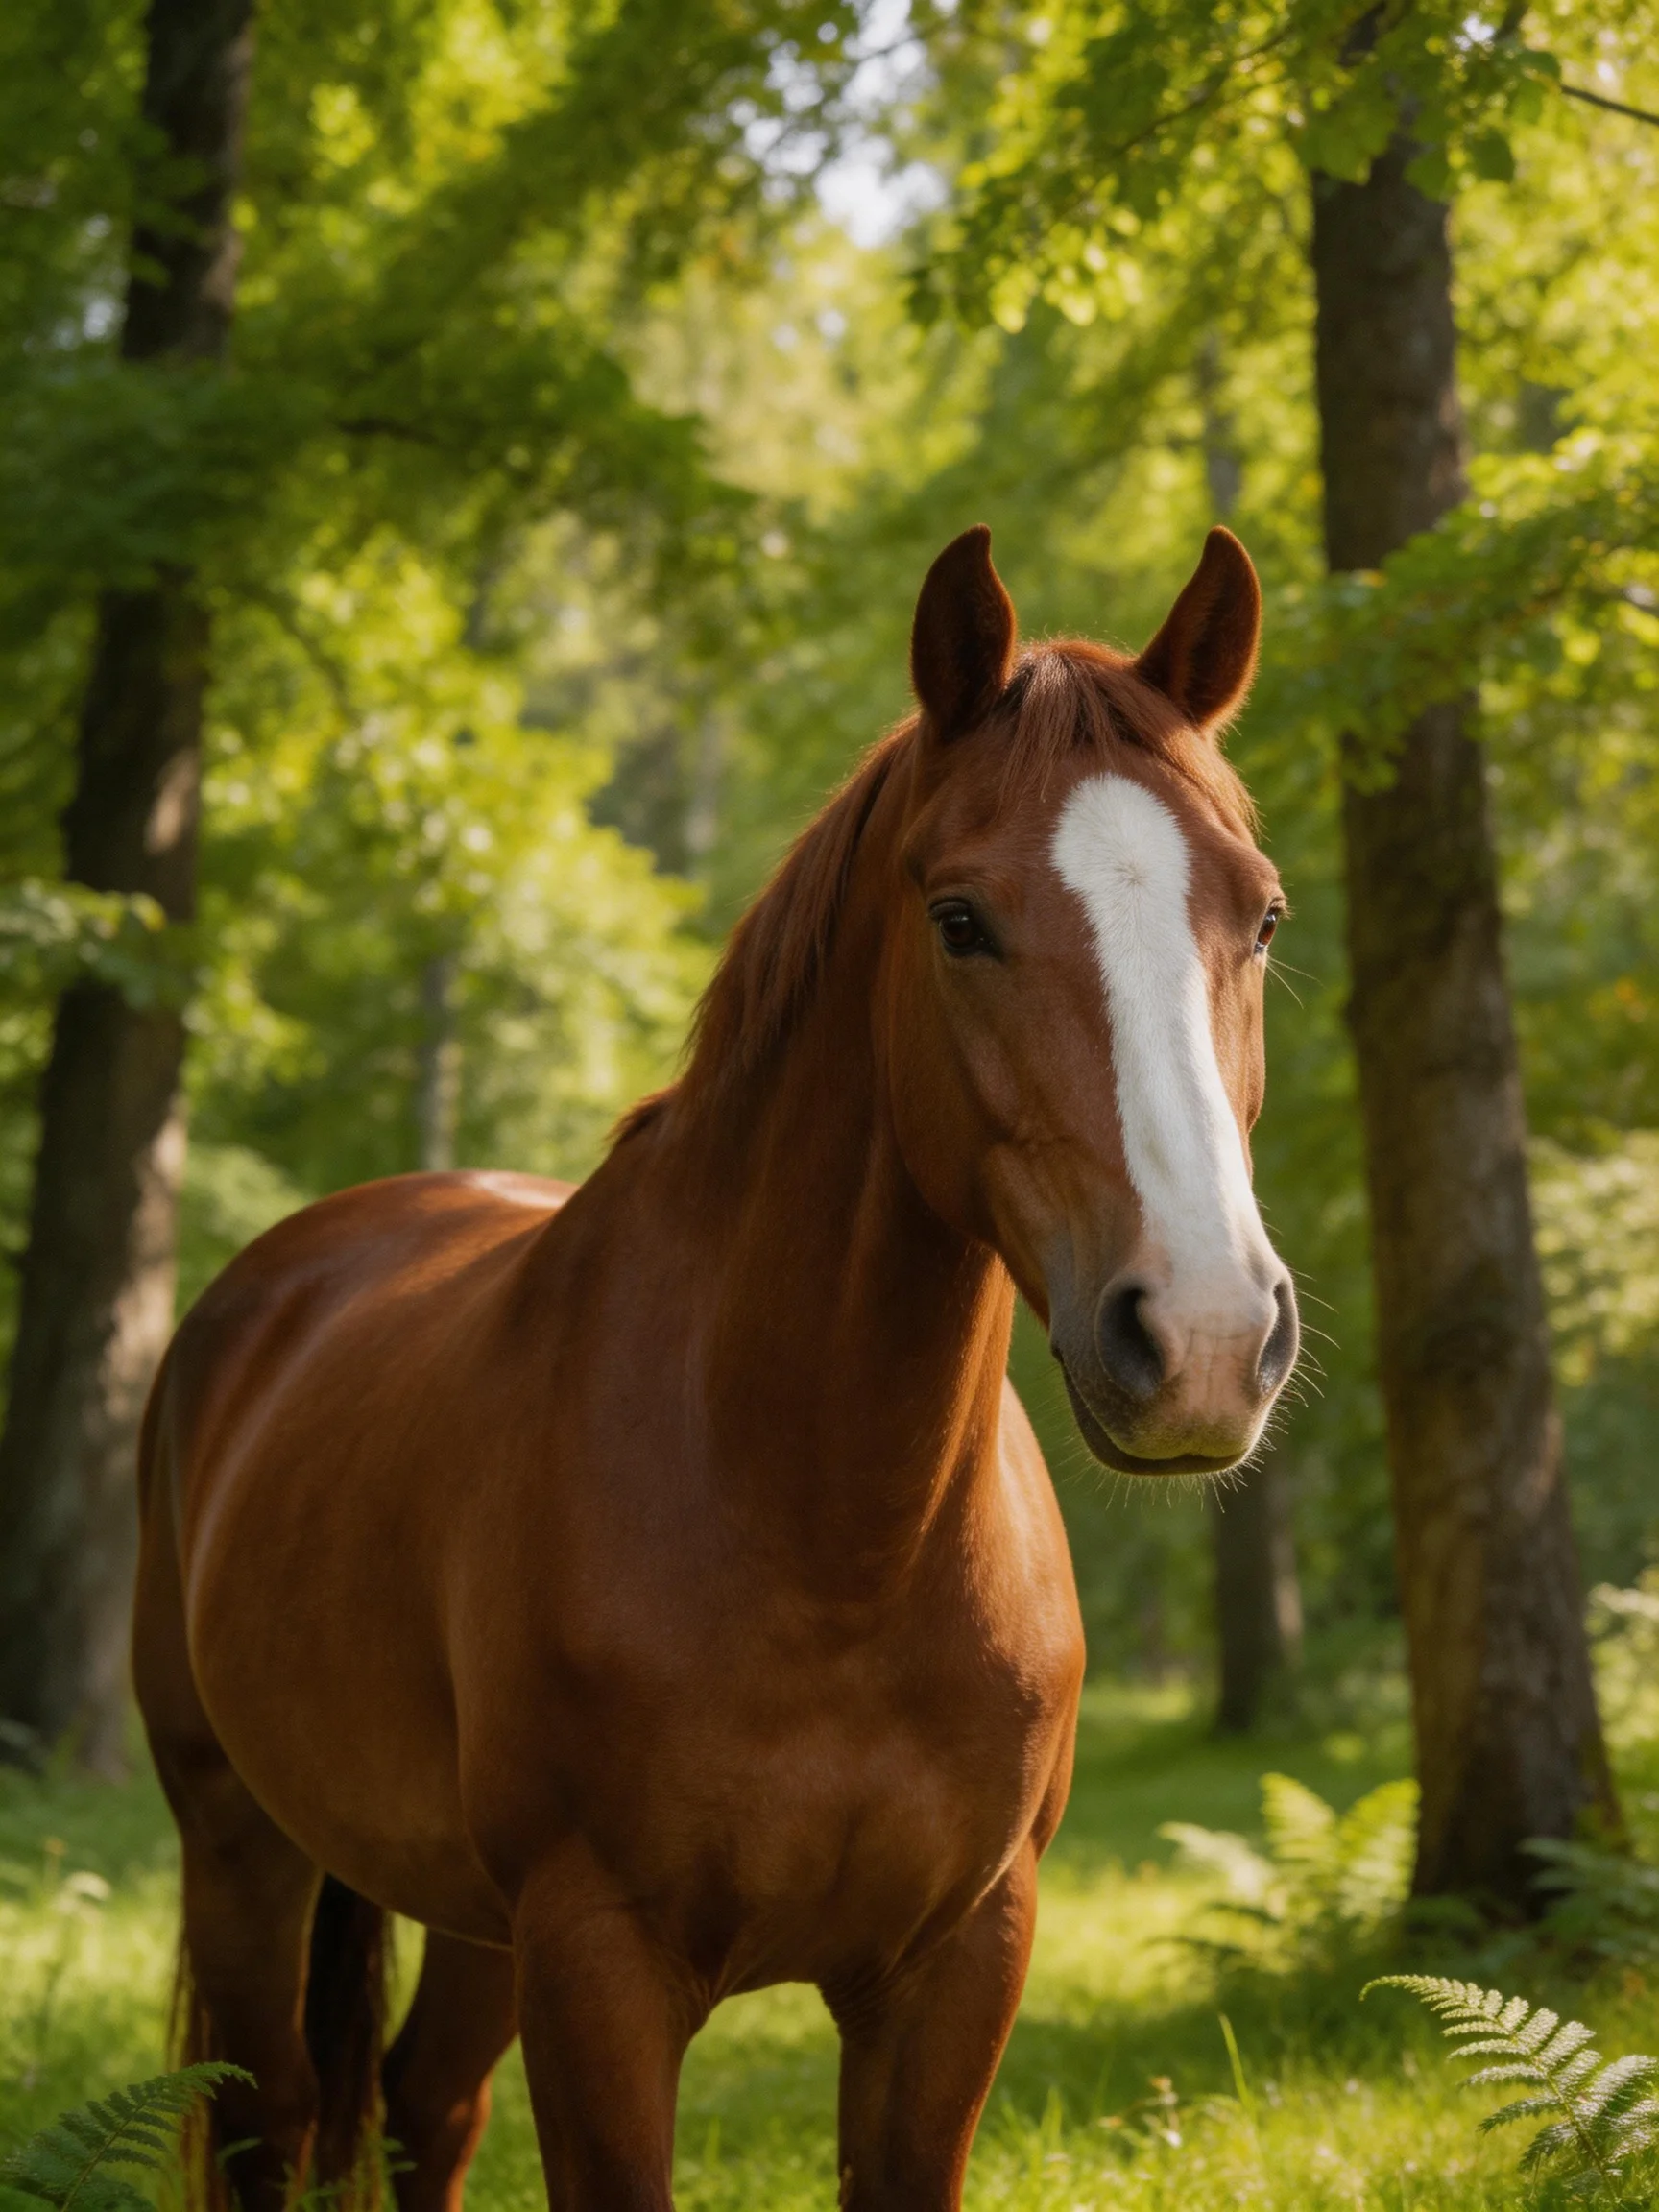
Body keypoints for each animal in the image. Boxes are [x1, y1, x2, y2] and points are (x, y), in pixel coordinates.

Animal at [134, 521, 1297, 2212]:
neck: (821, 1534)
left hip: (469, 1929)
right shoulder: (602, 1970)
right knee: (273, 2119)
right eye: (959, 918)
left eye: (1261, 918)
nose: (1205, 1337)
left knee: (426, 2104)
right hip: (242, 1850)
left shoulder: (952, 1975)